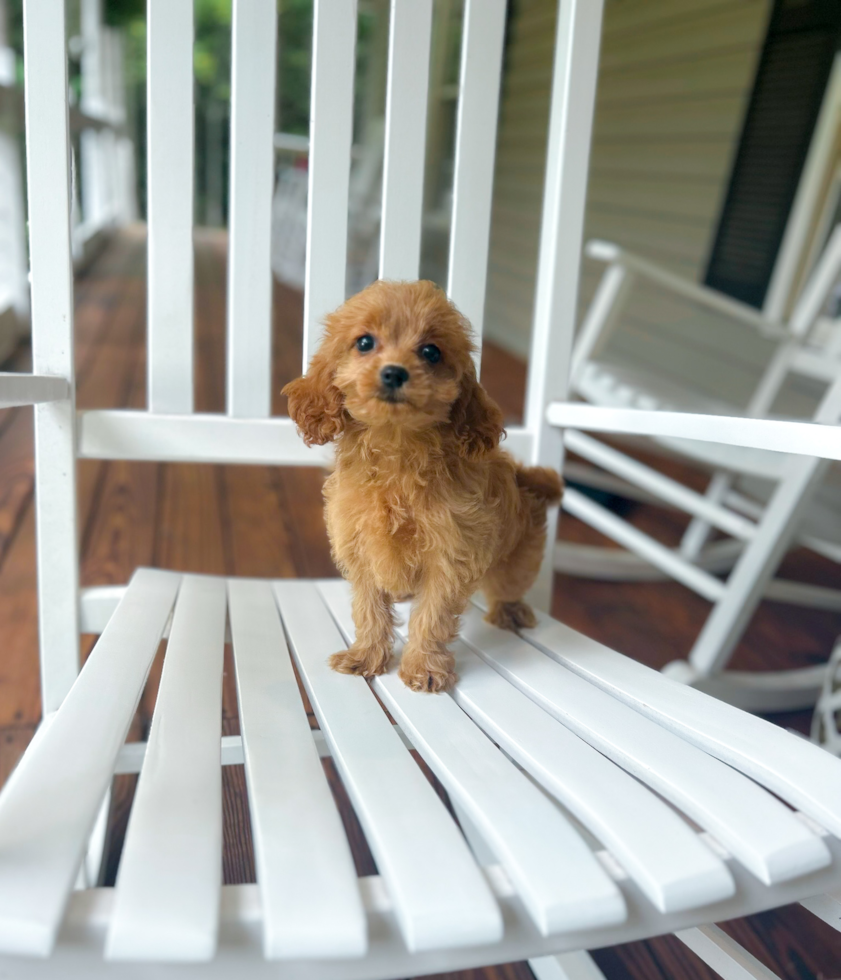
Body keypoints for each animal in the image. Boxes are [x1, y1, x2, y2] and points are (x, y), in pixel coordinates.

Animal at [284, 278, 564, 688]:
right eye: (364, 342)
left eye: (431, 352)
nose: (394, 373)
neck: (397, 447)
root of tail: (523, 476)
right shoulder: (360, 548)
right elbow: (369, 609)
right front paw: (365, 655)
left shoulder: (450, 555)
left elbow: (433, 615)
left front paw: (424, 668)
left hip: (519, 557)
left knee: (510, 585)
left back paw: (510, 612)